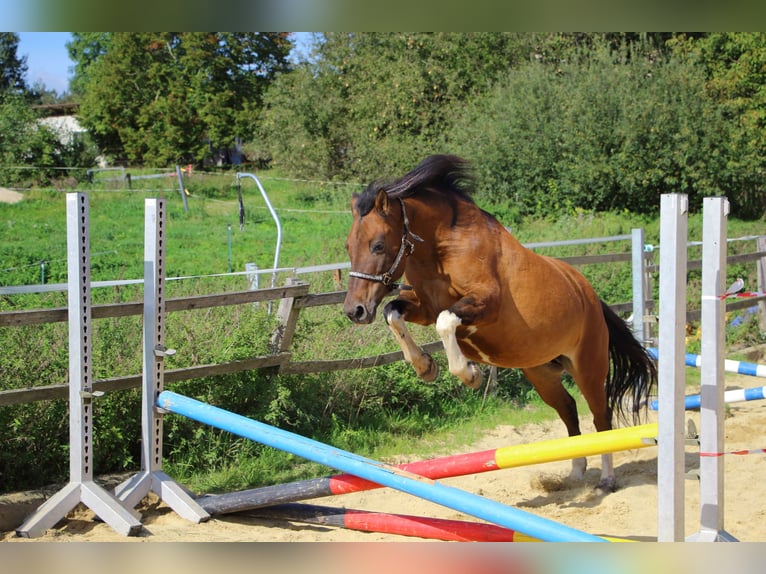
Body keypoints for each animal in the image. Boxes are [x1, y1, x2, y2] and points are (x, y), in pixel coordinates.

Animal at [344, 155, 656, 492]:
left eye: (377, 245)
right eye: (348, 246)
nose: (354, 311)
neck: (444, 250)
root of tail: (590, 297)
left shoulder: (485, 305)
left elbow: (445, 321)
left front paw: (470, 374)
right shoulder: (423, 306)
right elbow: (393, 312)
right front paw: (425, 367)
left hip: (588, 368)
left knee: (601, 417)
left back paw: (606, 480)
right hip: (541, 373)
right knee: (569, 410)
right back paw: (574, 473)